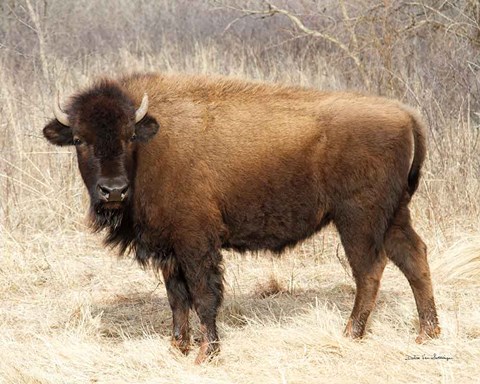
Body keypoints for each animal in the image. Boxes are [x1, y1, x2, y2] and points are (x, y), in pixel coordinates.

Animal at [43, 73, 440, 364]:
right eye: (79, 139)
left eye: (128, 137)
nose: (113, 191)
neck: (150, 146)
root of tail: (405, 114)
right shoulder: (169, 249)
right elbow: (177, 298)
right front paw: (178, 347)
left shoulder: (195, 242)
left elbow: (203, 294)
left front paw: (206, 353)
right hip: (393, 215)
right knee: (414, 258)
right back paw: (426, 333)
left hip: (358, 219)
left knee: (370, 269)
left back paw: (351, 333)